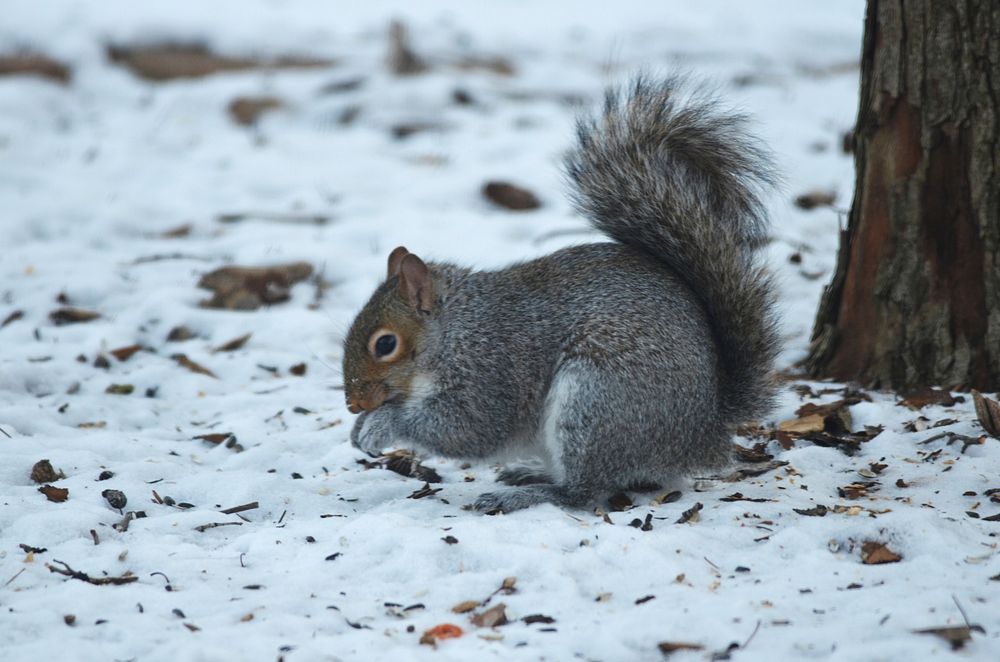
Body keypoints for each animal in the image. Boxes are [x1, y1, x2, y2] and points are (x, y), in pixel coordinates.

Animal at [344, 76, 780, 512]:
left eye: (385, 344)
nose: (353, 404)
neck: (454, 332)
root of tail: (704, 433)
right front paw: (360, 427)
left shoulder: (490, 371)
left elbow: (469, 428)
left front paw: (382, 424)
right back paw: (530, 474)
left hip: (598, 402)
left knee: (583, 492)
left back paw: (528, 494)